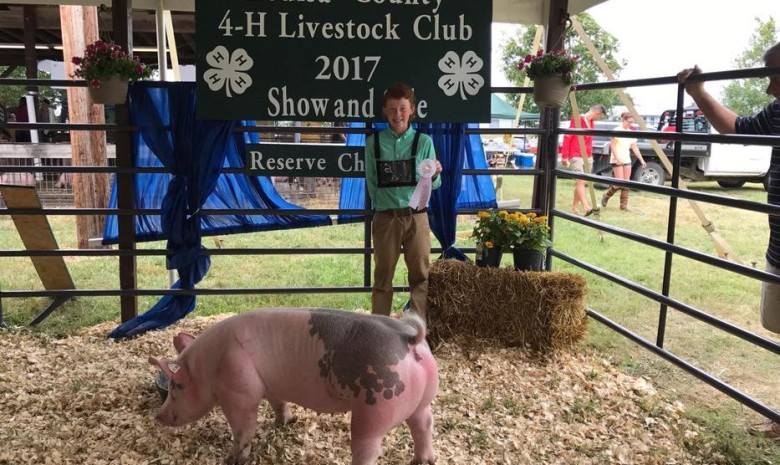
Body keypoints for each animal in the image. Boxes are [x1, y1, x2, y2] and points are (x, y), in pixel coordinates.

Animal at [147, 308, 438, 464]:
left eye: (177, 386)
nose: (158, 416)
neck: (209, 366)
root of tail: (409, 339)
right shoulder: (271, 387)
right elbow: (278, 403)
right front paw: (285, 422)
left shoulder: (239, 393)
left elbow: (243, 429)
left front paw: (233, 459)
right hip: (422, 400)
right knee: (424, 423)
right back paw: (424, 460)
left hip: (374, 408)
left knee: (369, 447)